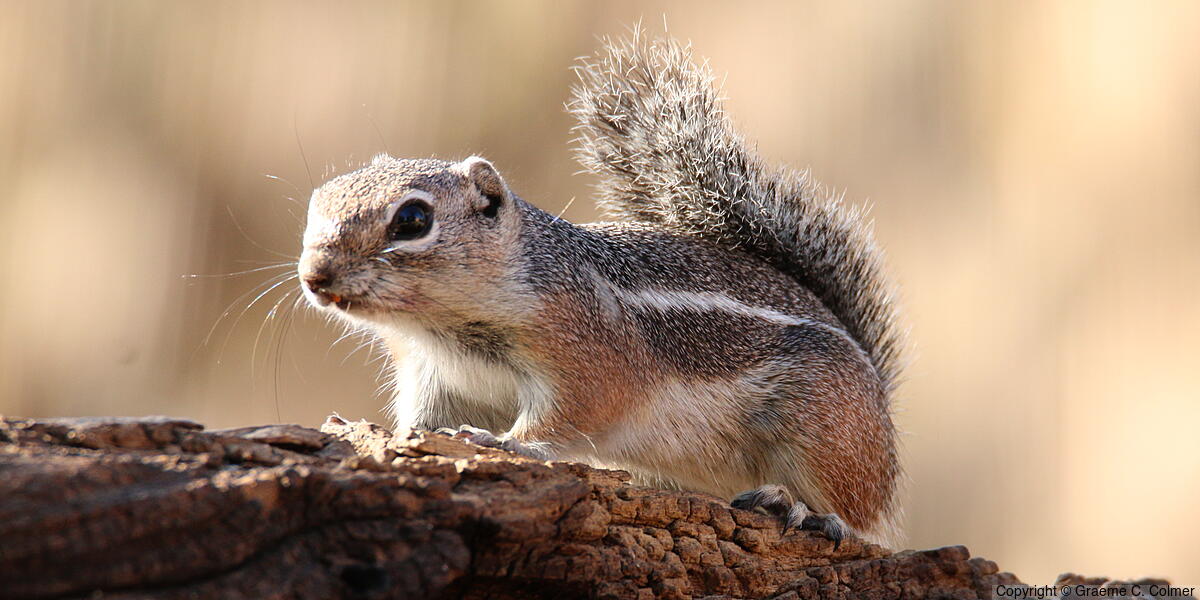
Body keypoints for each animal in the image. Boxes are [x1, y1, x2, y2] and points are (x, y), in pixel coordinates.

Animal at [297, 34, 904, 548]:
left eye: (413, 220)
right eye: (317, 201)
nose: (314, 276)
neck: (444, 328)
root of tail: (880, 400)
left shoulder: (589, 355)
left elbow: (570, 416)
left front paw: (505, 442)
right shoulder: (434, 377)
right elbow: (422, 423)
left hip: (824, 430)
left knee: (859, 517)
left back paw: (800, 508)